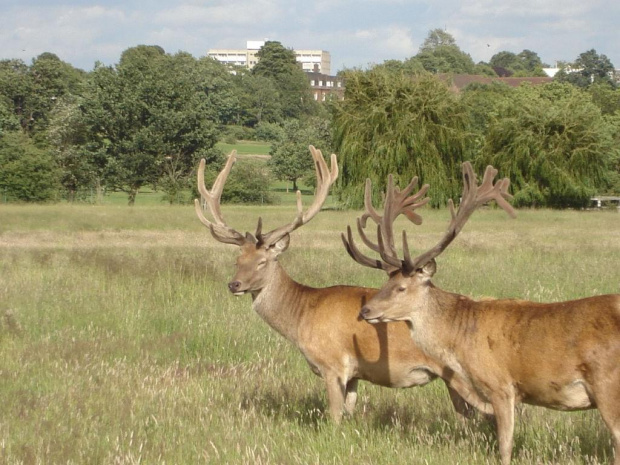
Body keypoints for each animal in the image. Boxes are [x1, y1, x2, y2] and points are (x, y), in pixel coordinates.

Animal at [194, 147, 480, 422]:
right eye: (237, 260)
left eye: (263, 261)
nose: (234, 284)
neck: (301, 318)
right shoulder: (354, 375)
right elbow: (349, 413)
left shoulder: (332, 364)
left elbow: (334, 416)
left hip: (457, 375)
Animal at [344, 161, 620, 462]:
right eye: (386, 282)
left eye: (401, 287)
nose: (365, 310)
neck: (461, 342)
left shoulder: (501, 386)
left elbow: (505, 446)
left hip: (608, 384)